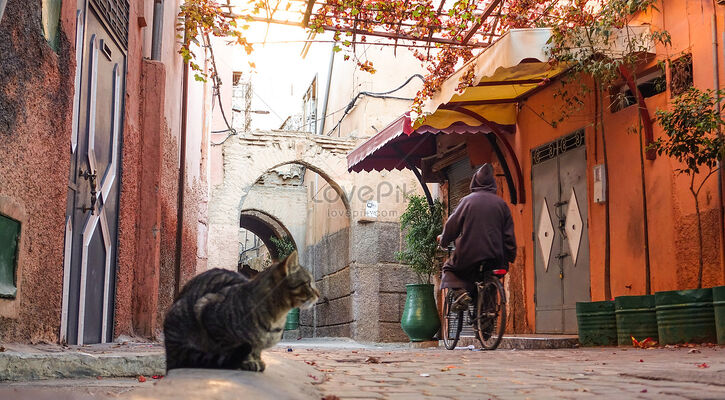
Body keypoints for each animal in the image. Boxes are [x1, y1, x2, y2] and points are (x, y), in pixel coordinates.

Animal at [164, 250, 316, 372]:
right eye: (308, 283)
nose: (318, 294)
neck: (277, 317)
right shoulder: (207, 311)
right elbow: (230, 347)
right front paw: (245, 362)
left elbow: (256, 350)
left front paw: (256, 361)